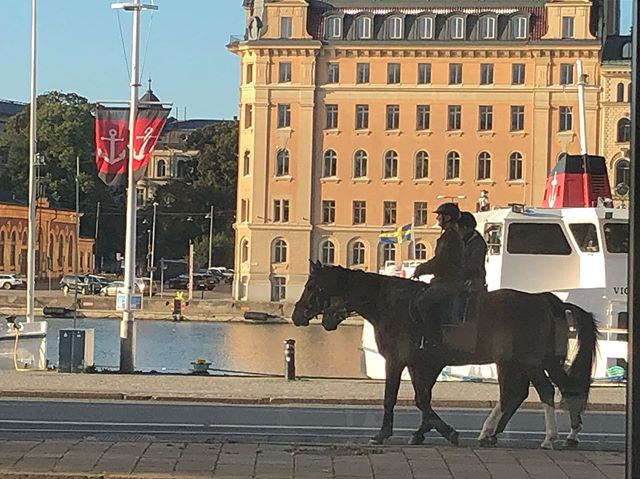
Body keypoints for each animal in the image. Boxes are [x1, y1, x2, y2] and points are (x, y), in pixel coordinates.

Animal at [292, 262, 596, 450]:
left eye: (312, 287)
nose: (296, 315)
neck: (390, 304)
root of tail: (543, 298)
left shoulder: (397, 361)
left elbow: (396, 398)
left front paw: (386, 433)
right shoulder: (422, 365)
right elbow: (423, 398)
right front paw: (424, 432)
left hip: (530, 361)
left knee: (546, 391)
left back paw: (550, 436)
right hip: (525, 361)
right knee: (531, 392)